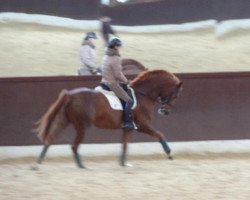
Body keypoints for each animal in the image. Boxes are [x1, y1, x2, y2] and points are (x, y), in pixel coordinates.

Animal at [35, 69, 183, 168]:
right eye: (175, 95)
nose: (165, 111)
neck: (143, 95)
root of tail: (71, 95)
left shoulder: (128, 128)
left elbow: (124, 144)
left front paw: (123, 163)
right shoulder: (142, 125)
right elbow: (159, 135)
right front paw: (170, 154)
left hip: (64, 121)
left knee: (50, 139)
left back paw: (38, 163)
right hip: (82, 126)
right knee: (74, 146)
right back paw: (81, 166)